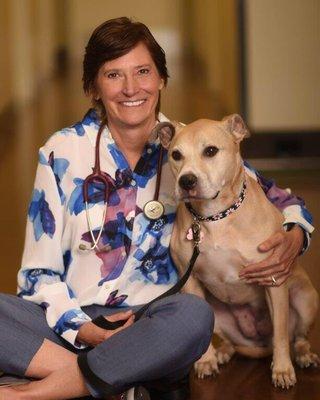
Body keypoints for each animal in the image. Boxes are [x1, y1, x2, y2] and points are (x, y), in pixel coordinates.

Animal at [156, 115, 318, 388]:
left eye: (210, 151)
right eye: (176, 155)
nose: (186, 181)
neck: (214, 216)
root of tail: (258, 341)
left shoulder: (273, 280)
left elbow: (281, 334)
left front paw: (282, 369)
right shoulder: (190, 281)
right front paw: (205, 361)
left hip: (305, 299)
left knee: (296, 336)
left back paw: (303, 355)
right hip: (215, 313)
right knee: (232, 342)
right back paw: (222, 353)